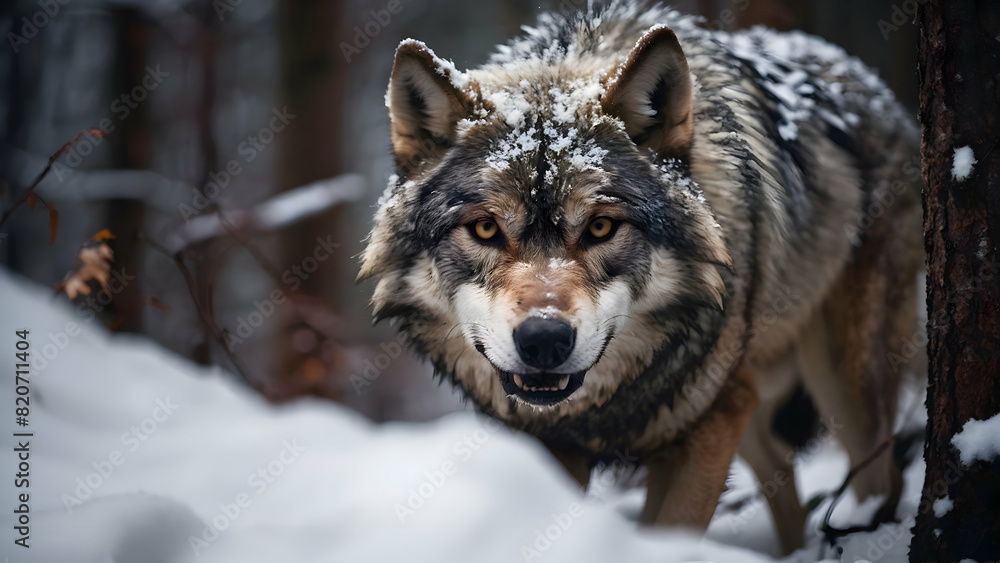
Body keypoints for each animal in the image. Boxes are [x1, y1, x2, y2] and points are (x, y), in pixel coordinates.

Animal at [359, 1, 922, 553]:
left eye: (601, 227)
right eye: (485, 228)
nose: (544, 340)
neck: (598, 413)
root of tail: (878, 90)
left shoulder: (705, 430)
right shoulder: (553, 449)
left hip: (841, 380)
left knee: (881, 480)